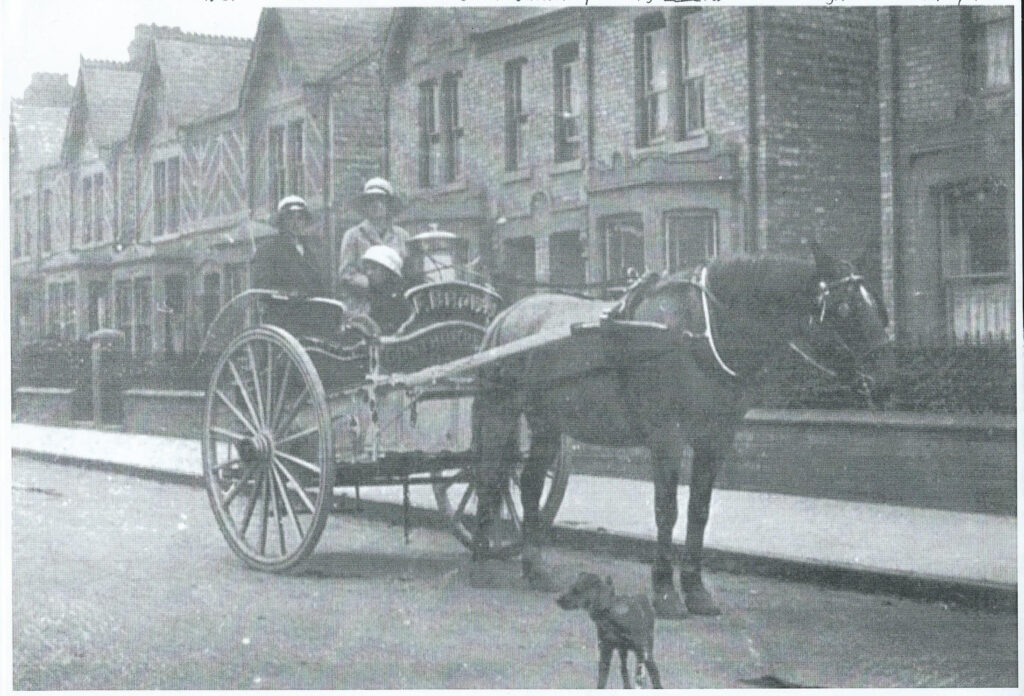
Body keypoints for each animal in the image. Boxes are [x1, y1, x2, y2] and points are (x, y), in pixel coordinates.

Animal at [468, 243, 888, 614]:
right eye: (845, 307)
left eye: (872, 302)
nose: (883, 370)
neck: (698, 331)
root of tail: (506, 315)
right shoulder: (666, 435)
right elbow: (666, 510)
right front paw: (665, 592)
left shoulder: (715, 438)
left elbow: (699, 511)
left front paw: (696, 590)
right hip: (501, 411)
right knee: (487, 477)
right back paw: (482, 561)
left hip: (547, 423)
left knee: (530, 484)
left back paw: (534, 567)